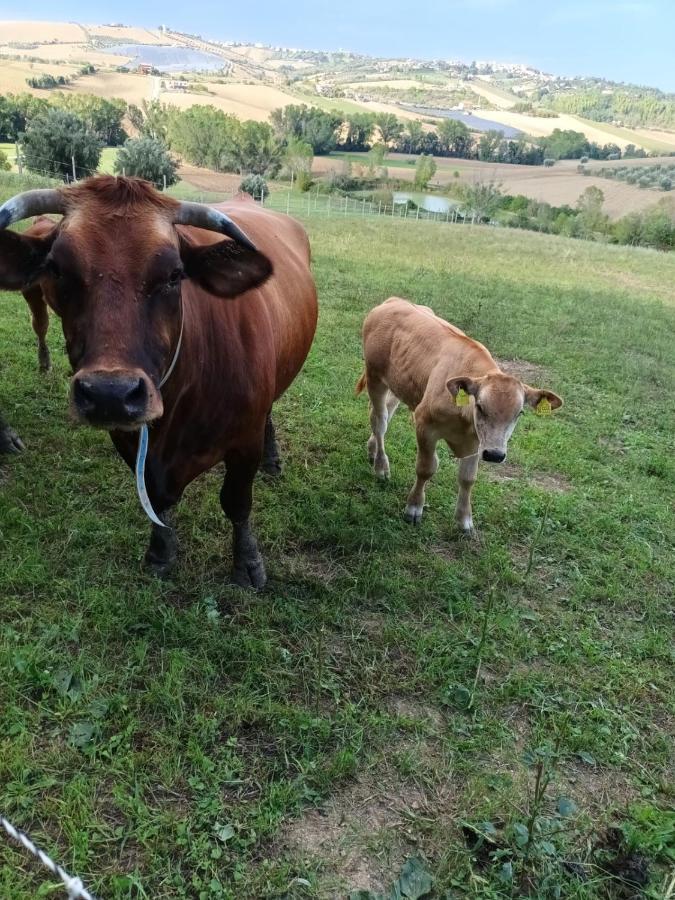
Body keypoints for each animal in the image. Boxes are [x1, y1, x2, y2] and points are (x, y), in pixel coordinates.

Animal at [0, 177, 318, 588]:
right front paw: (161, 551)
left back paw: (273, 459)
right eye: (56, 269)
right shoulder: (127, 437)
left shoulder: (244, 442)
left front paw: (247, 563)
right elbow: (155, 497)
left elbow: (236, 503)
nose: (109, 393)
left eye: (174, 275)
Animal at [356, 298, 564, 532]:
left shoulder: (477, 442)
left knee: (386, 412)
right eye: (480, 406)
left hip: (398, 384)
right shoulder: (424, 424)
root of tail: (393, 300)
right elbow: (426, 468)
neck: (464, 421)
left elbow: (467, 478)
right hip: (374, 376)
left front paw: (464, 520)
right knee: (379, 420)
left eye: (519, 413)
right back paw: (381, 466)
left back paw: (372, 449)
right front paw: (414, 507)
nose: (495, 455)